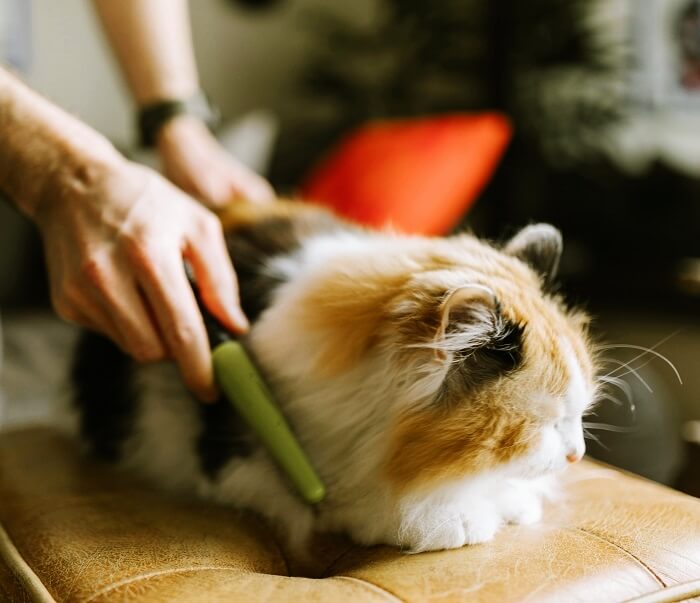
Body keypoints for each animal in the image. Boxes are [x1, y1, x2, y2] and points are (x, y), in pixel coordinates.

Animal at [69, 201, 596, 556]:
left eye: (577, 415)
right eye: (545, 424)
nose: (577, 454)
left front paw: (512, 499)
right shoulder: (238, 457)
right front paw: (460, 517)